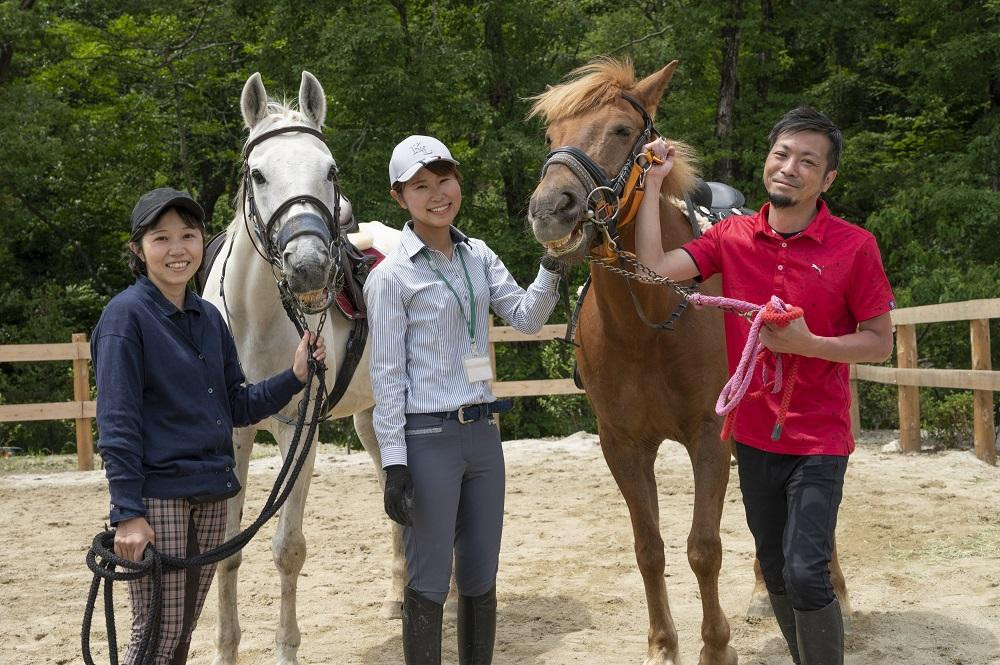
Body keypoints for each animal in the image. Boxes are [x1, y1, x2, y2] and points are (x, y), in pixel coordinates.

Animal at [201, 70, 404, 660]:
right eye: (258, 173)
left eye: (329, 169)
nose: (310, 265)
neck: (255, 320)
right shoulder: (235, 435)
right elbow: (227, 550)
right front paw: (225, 650)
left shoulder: (300, 432)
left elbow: (287, 547)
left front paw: (286, 649)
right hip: (372, 422)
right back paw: (397, 599)